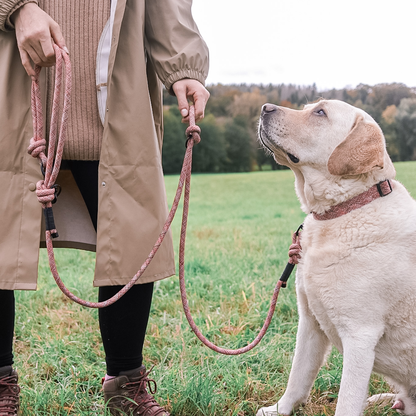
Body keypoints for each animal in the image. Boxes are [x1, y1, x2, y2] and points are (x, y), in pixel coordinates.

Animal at [256, 101, 416, 416]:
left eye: (320, 112)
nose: (265, 107)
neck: (343, 210)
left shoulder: (360, 337)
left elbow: (347, 400)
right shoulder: (310, 321)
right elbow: (297, 376)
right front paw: (278, 409)